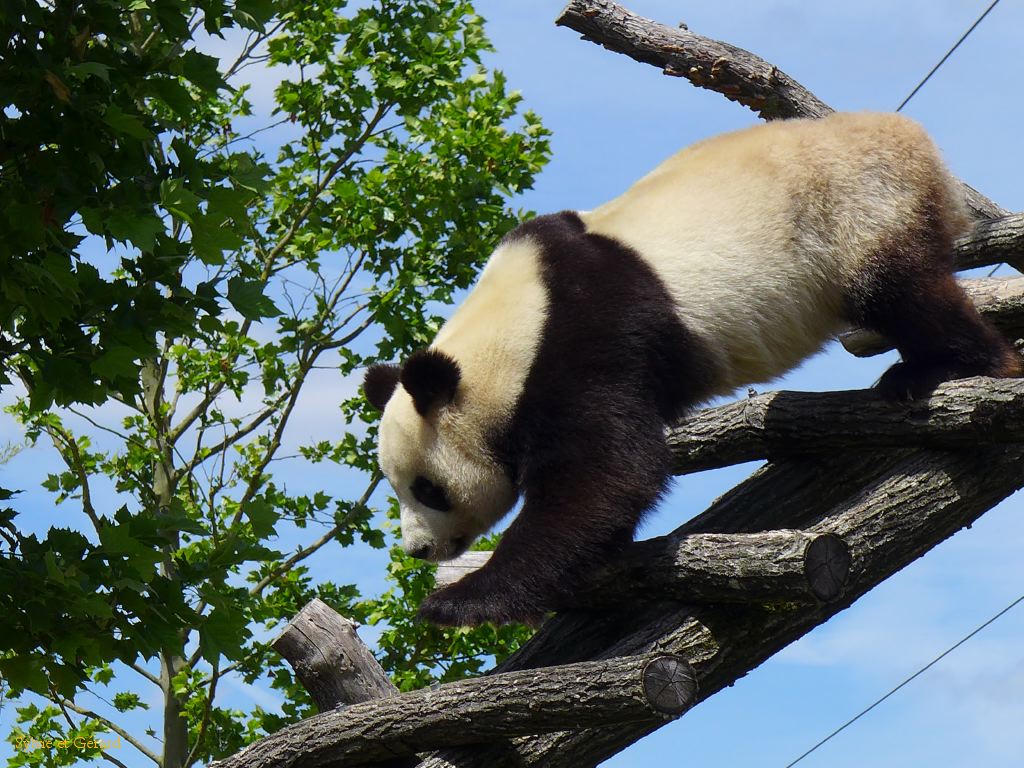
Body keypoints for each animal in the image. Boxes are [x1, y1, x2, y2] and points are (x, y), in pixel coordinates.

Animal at [363, 112, 1021, 626]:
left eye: (427, 487)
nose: (418, 549)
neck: (512, 325)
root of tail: (915, 140)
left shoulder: (588, 334)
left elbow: (608, 469)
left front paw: (461, 601)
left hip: (858, 209)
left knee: (905, 295)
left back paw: (944, 369)